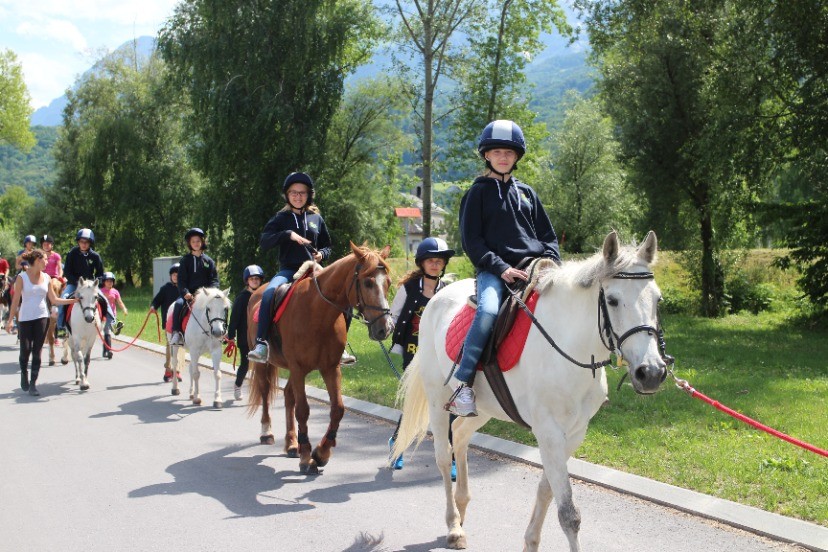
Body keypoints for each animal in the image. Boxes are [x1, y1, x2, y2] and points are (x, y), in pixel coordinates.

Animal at [246, 243, 394, 474]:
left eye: (388, 282)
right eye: (368, 282)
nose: (385, 328)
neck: (317, 312)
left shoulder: (330, 368)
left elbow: (338, 409)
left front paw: (322, 452)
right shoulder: (298, 368)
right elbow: (303, 410)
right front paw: (307, 456)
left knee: (288, 396)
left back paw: (292, 443)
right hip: (265, 366)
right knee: (265, 391)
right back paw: (267, 432)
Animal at [392, 232, 668, 552]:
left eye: (657, 299)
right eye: (612, 300)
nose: (651, 372)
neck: (569, 345)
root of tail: (437, 298)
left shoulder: (574, 432)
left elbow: (548, 493)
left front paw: (531, 543)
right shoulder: (548, 431)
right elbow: (569, 514)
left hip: (483, 407)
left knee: (460, 434)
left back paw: (461, 509)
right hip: (437, 401)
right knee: (442, 455)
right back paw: (453, 526)